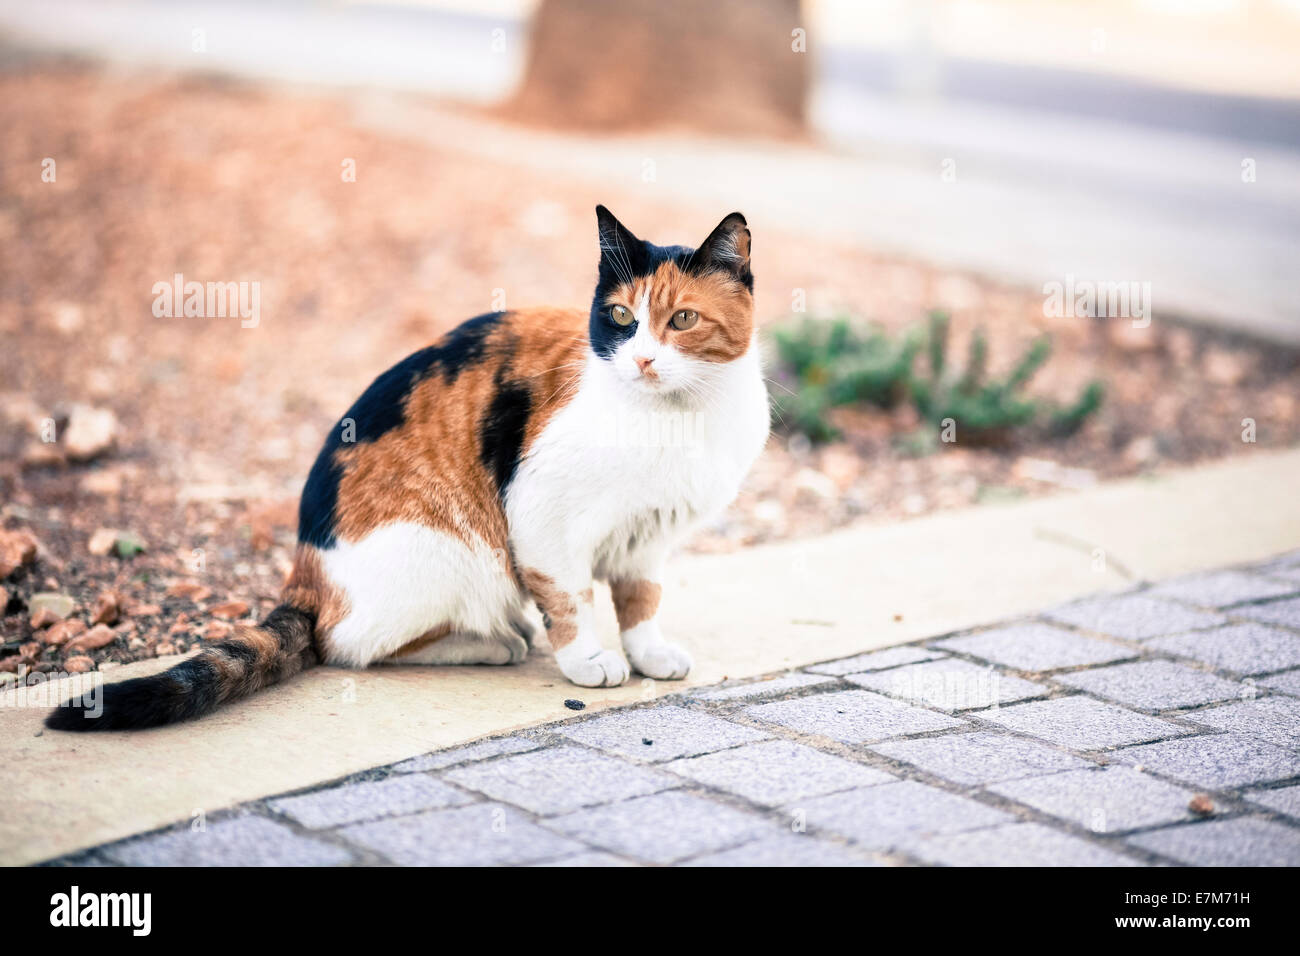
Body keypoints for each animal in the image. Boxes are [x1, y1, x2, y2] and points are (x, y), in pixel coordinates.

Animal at [45, 208, 764, 733]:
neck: (676, 418)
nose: (641, 360)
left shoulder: (649, 537)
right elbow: (572, 599)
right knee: (351, 644)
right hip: (453, 553)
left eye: (682, 319)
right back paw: (494, 641)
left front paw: (649, 655)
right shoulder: (544, 520)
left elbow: (641, 601)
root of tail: (305, 574)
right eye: (620, 317)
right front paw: (588, 659)